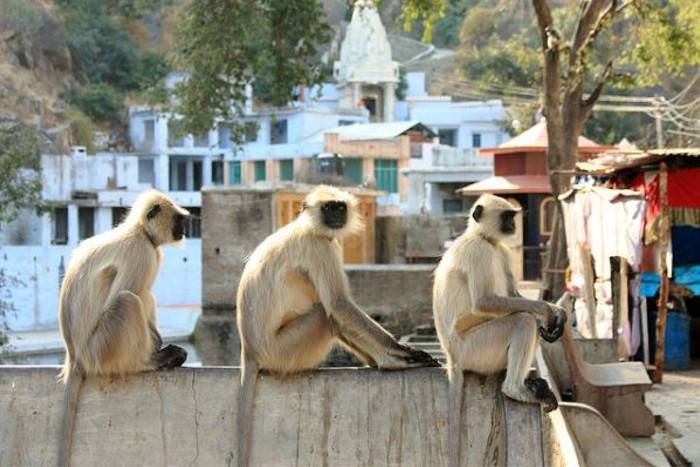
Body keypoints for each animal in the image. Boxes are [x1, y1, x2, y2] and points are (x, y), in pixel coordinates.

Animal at [57, 190, 190, 466]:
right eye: (179, 220)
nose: (184, 230)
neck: (139, 231)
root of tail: (75, 359)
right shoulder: (142, 253)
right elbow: (125, 294)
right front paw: (158, 345)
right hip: (103, 347)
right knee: (128, 299)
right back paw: (148, 360)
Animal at [235, 185, 438, 466]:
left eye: (340, 207)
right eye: (328, 207)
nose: (336, 216)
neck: (307, 227)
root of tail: (250, 350)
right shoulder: (319, 246)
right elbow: (338, 303)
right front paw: (400, 349)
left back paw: (379, 362)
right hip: (284, 350)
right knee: (326, 314)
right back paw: (391, 361)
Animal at [432, 194, 566, 467]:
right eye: (507, 216)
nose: (513, 225)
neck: (483, 238)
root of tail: (451, 358)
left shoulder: (500, 250)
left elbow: (514, 294)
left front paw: (556, 312)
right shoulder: (478, 251)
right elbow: (484, 303)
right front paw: (546, 310)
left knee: (528, 322)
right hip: (475, 348)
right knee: (523, 320)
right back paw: (514, 389)